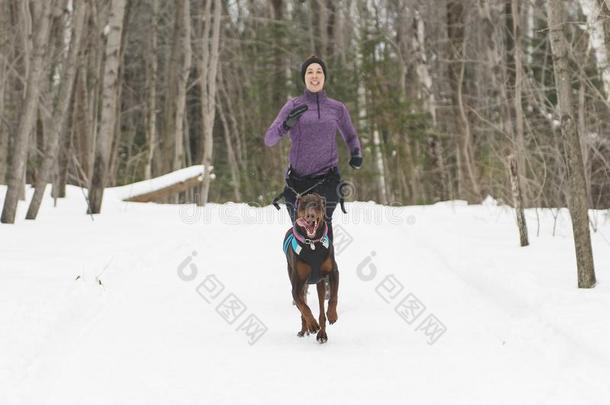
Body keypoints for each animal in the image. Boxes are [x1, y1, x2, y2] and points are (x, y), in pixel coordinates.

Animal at [284, 192, 340, 340]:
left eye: (316, 203)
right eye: (303, 204)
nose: (310, 215)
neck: (312, 244)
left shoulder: (333, 272)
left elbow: (333, 296)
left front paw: (332, 314)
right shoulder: (296, 286)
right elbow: (304, 308)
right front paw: (312, 324)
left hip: (320, 284)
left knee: (321, 309)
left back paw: (322, 334)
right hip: (301, 284)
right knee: (302, 307)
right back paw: (305, 329)